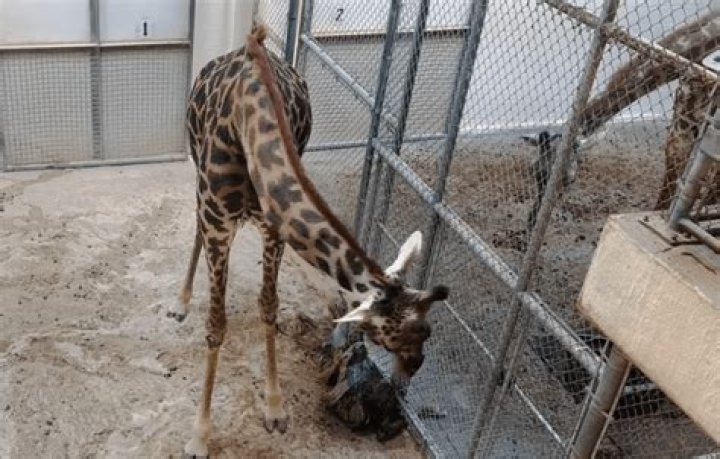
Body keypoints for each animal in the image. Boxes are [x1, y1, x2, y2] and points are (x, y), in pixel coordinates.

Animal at [171, 25, 449, 456]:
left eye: (429, 330)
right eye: (418, 333)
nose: (412, 368)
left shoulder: (274, 230)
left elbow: (269, 306)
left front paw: (275, 408)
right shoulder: (218, 220)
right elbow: (216, 325)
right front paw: (200, 436)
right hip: (200, 179)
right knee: (195, 229)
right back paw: (182, 302)